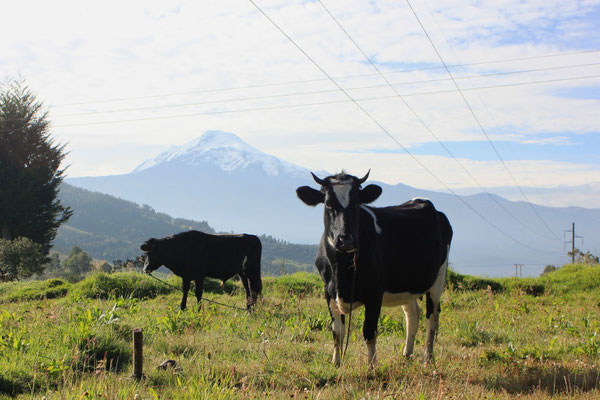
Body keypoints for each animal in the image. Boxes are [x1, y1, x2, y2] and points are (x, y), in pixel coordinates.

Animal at [298, 170, 452, 364]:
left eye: (357, 203)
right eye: (328, 203)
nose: (346, 240)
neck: (341, 270)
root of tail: (425, 203)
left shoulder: (374, 293)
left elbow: (369, 332)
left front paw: (372, 366)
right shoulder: (329, 291)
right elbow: (337, 332)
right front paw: (336, 363)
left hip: (439, 277)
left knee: (432, 316)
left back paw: (427, 358)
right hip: (407, 281)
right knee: (412, 313)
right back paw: (407, 353)